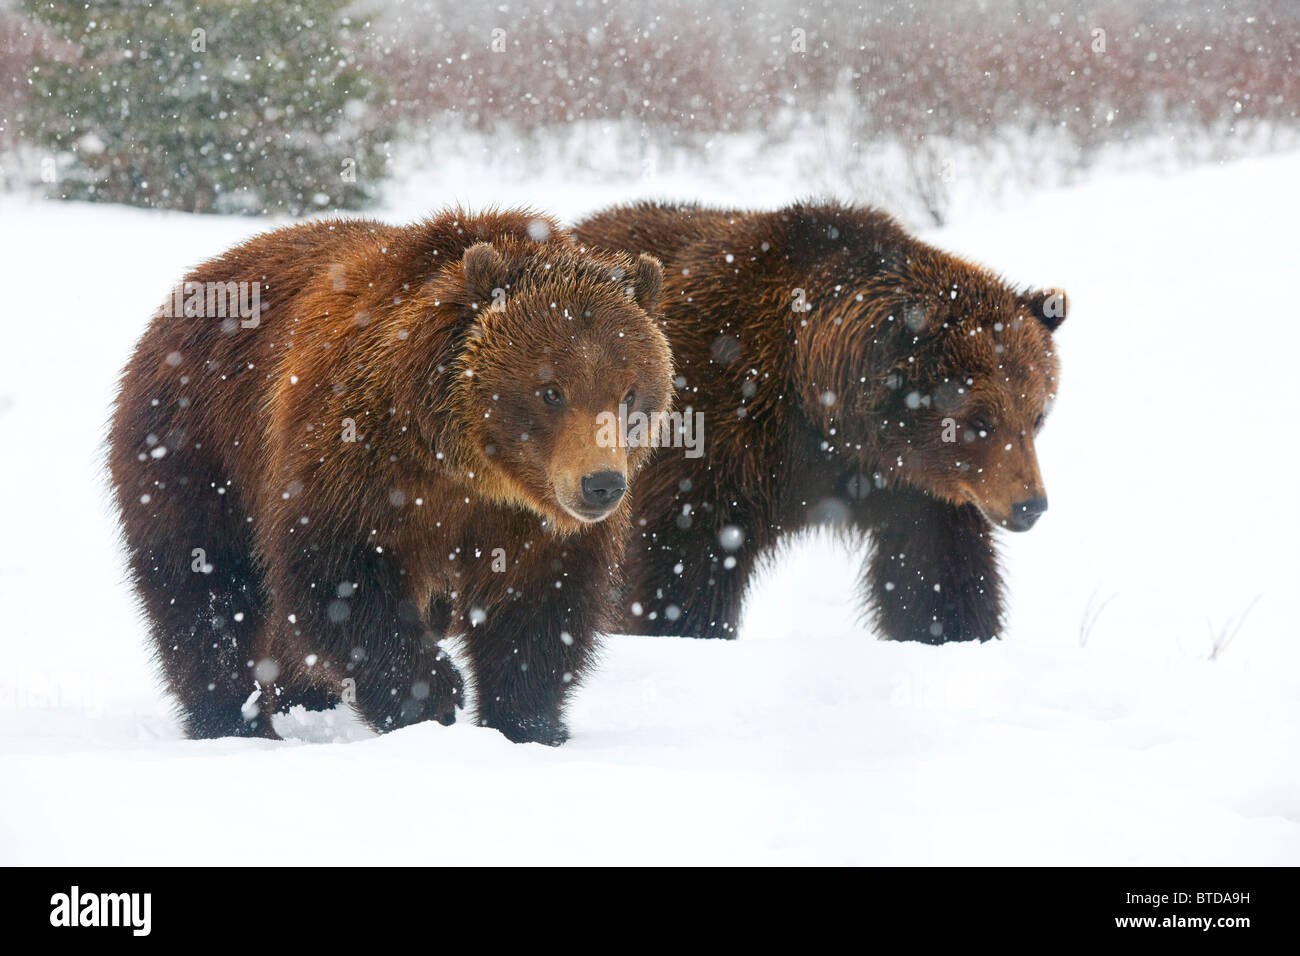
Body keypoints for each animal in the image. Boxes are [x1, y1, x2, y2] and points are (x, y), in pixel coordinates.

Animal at [109, 209, 670, 749]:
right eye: (551, 391)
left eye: (629, 393)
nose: (601, 484)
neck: (469, 463)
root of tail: (195, 281)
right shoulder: (360, 457)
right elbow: (338, 575)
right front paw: (433, 697)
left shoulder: (529, 523)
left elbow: (541, 612)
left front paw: (528, 726)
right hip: (199, 444)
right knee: (207, 587)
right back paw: (233, 724)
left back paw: (304, 699)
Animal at [579, 204, 1066, 650]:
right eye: (979, 419)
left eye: (1036, 415)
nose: (1031, 504)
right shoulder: (717, 433)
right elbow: (684, 563)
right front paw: (683, 631)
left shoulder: (911, 488)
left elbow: (938, 572)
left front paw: (958, 633)